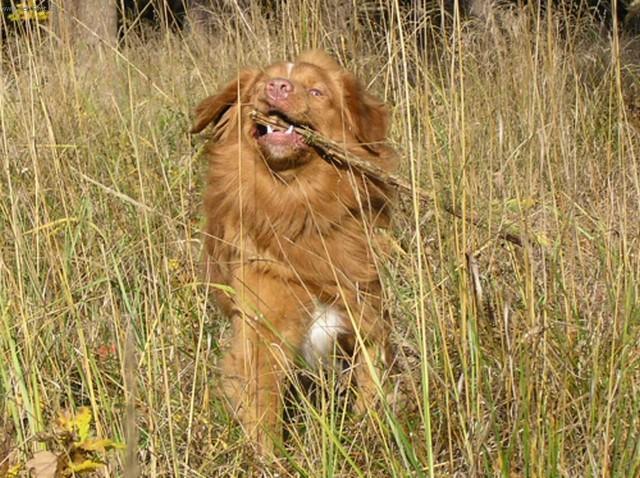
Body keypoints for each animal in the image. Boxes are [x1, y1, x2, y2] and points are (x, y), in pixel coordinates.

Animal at [192, 50, 398, 454]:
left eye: (316, 91)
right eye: (260, 86)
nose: (277, 87)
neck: (298, 204)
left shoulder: (365, 315)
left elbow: (371, 387)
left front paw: (371, 436)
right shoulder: (263, 333)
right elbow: (264, 412)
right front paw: (269, 459)